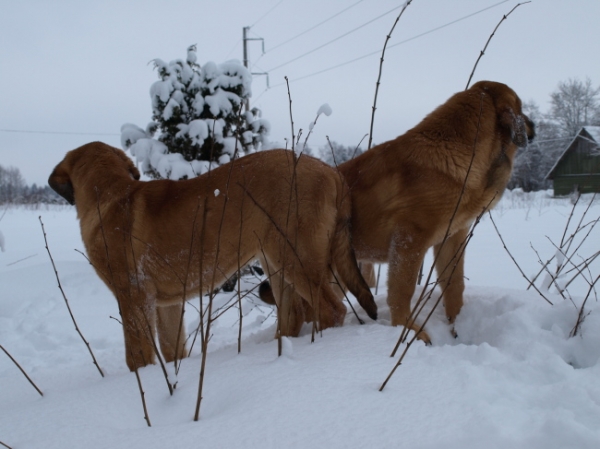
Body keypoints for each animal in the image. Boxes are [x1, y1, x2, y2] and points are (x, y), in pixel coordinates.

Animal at [49, 142, 376, 370]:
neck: (109, 193)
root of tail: (331, 171)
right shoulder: (167, 305)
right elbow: (172, 349)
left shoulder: (132, 297)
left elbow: (137, 356)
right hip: (275, 261)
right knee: (292, 314)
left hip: (296, 257)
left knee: (331, 309)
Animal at [260, 80, 532, 342]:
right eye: (521, 108)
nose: (533, 124)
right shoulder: (409, 241)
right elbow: (402, 293)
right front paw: (408, 331)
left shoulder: (451, 240)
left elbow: (453, 286)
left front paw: (456, 327)